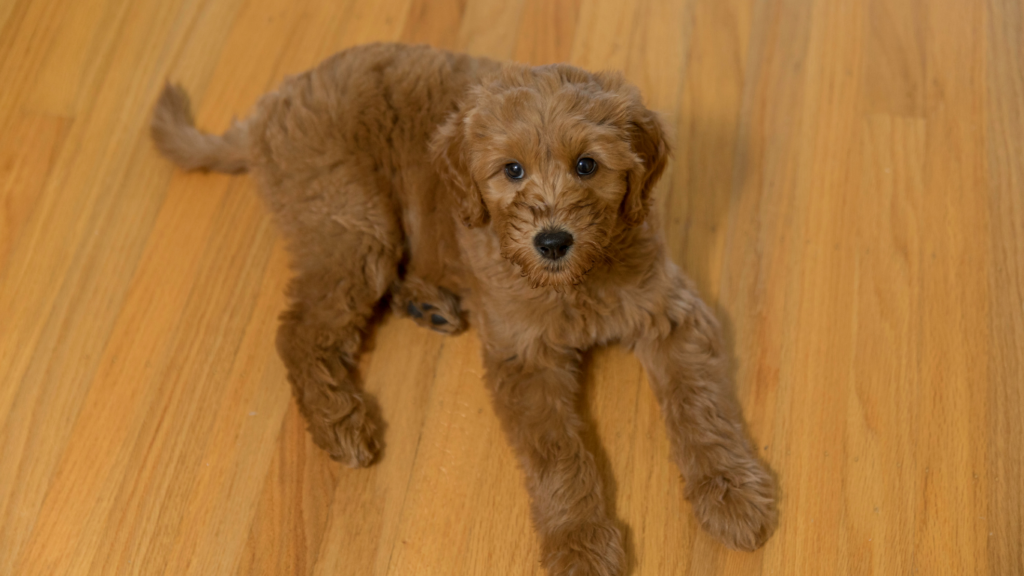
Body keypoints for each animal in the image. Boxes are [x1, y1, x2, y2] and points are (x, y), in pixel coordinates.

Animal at [151, 42, 774, 569]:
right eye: (512, 170)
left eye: (587, 165)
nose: (552, 241)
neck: (575, 282)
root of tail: (269, 106)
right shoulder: (523, 358)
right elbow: (558, 456)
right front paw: (579, 544)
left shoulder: (669, 311)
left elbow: (700, 407)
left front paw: (731, 493)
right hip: (349, 223)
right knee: (301, 328)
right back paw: (340, 420)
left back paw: (427, 303)